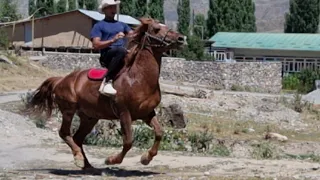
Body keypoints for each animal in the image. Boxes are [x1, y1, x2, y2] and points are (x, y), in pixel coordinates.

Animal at [25, 17, 188, 169]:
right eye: (156, 29)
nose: (182, 38)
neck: (138, 78)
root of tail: (61, 80)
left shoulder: (147, 113)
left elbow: (159, 133)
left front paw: (146, 158)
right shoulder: (124, 113)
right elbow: (128, 141)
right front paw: (112, 160)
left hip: (89, 117)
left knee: (78, 138)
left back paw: (87, 165)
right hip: (68, 111)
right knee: (64, 133)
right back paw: (78, 159)